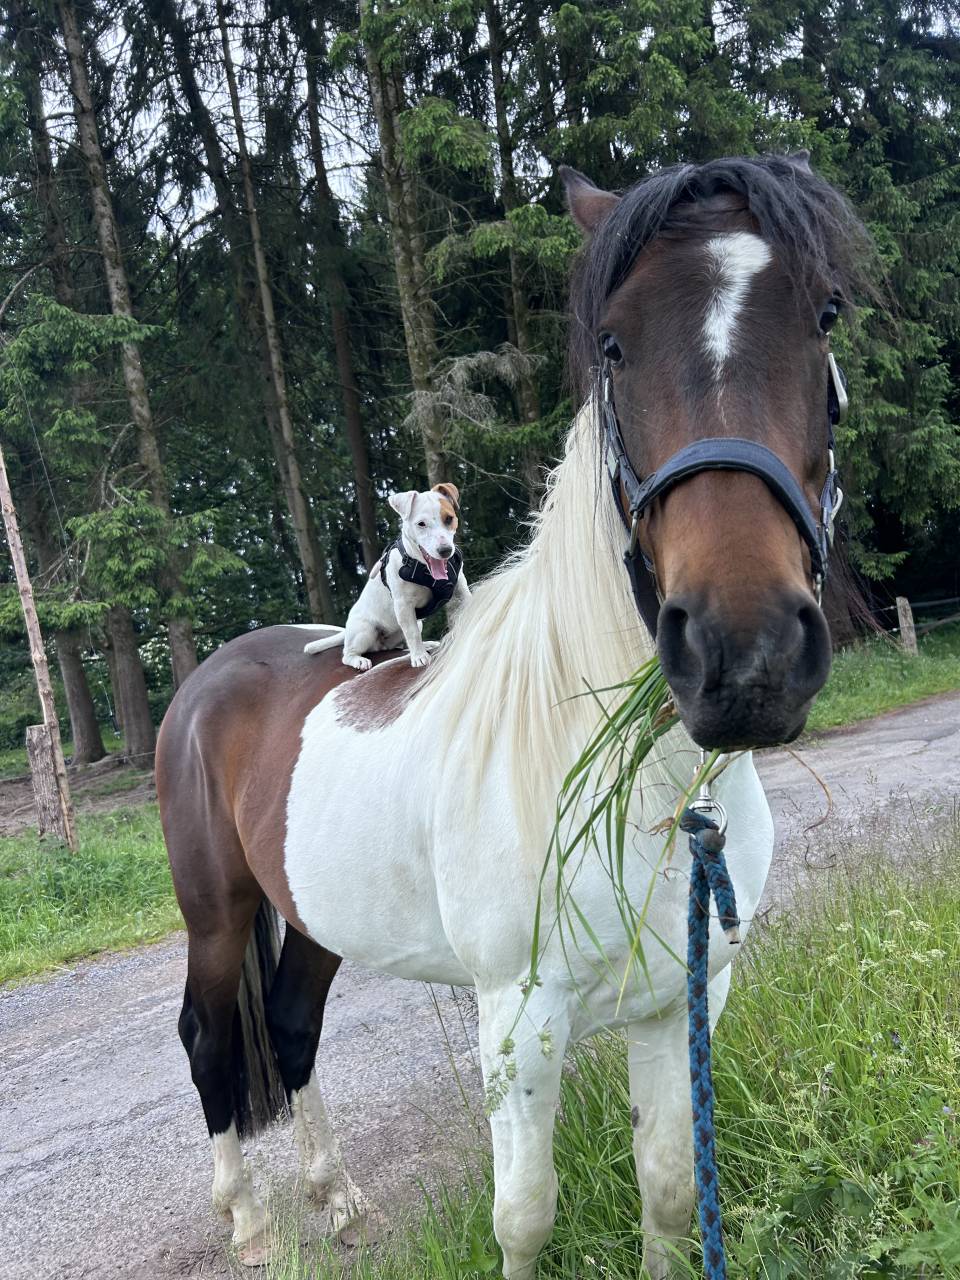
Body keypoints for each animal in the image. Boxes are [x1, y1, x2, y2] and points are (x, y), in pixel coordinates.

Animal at [156, 153, 868, 1277]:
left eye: (824, 314)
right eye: (613, 342)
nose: (742, 653)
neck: (642, 791)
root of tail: (207, 680)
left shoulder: (682, 1000)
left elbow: (672, 1191)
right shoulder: (520, 1014)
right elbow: (524, 1215)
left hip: (309, 916)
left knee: (295, 1025)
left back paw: (339, 1200)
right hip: (217, 913)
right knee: (210, 1038)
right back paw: (252, 1219)